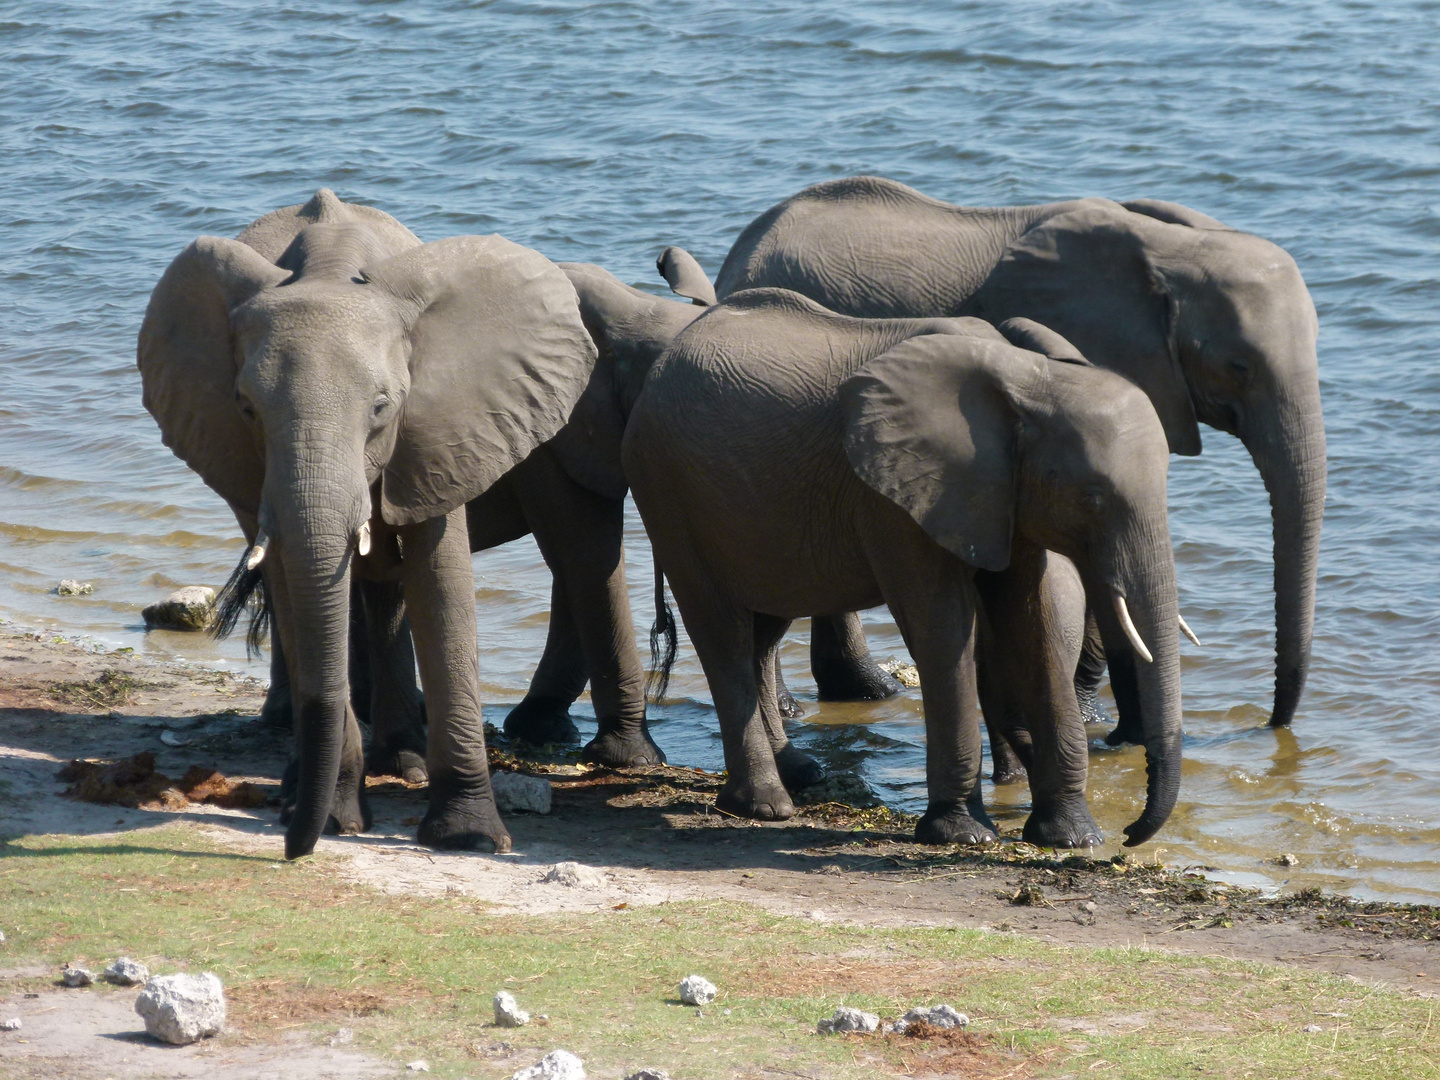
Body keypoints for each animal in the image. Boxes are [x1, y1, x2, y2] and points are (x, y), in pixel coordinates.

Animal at [137, 188, 599, 864]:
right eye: (247, 408)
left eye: (382, 406)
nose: (292, 849)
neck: (332, 269)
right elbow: (296, 589)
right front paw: (333, 818)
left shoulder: (445, 425)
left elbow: (440, 581)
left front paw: (469, 839)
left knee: (384, 588)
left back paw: (401, 762)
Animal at [624, 289, 1186, 852]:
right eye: (1093, 497)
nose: (1131, 833)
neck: (1030, 377)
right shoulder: (894, 499)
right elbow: (943, 627)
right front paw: (963, 836)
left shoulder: (1004, 496)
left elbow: (1037, 623)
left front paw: (1073, 838)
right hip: (667, 489)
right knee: (722, 632)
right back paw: (763, 805)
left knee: (764, 630)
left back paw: (798, 772)